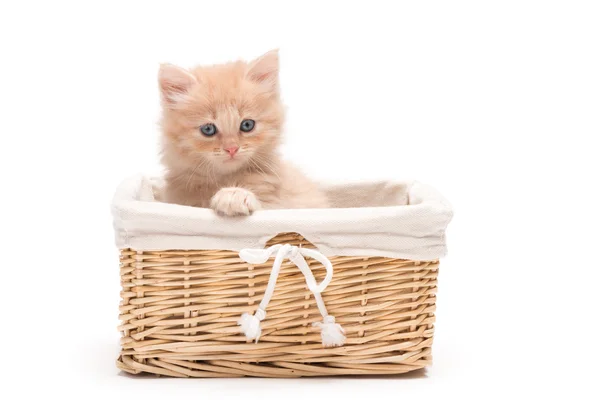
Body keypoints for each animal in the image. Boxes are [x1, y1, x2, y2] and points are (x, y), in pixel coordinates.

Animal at [158, 50, 328, 216]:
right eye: (208, 129)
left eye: (247, 125)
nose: (232, 149)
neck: (227, 179)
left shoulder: (283, 204)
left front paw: (233, 195)